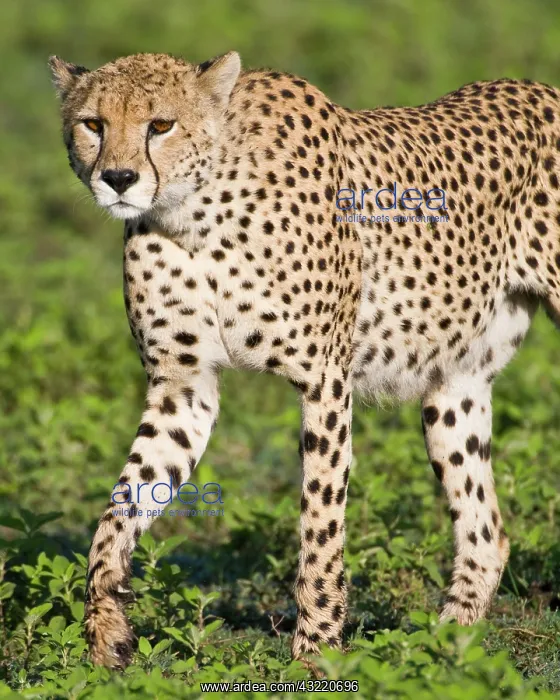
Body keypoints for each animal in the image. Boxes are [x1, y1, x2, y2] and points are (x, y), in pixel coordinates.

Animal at [49, 50, 560, 670]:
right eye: (93, 124)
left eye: (161, 125)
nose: (118, 179)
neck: (193, 214)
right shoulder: (184, 386)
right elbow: (121, 506)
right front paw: (105, 630)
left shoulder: (324, 381)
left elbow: (320, 521)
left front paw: (316, 651)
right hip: (452, 388)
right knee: (487, 532)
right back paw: (440, 647)